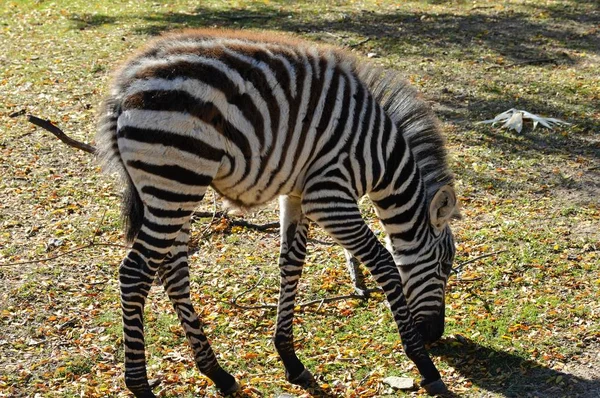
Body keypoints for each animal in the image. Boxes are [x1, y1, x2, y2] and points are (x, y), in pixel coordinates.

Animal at [96, 28, 458, 398]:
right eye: (445, 266)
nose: (436, 335)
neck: (380, 157)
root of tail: (124, 86)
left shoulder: (297, 194)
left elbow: (291, 265)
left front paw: (290, 358)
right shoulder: (328, 195)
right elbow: (384, 263)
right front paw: (423, 363)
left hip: (173, 189)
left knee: (174, 272)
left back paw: (217, 373)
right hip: (176, 179)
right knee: (135, 273)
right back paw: (140, 385)